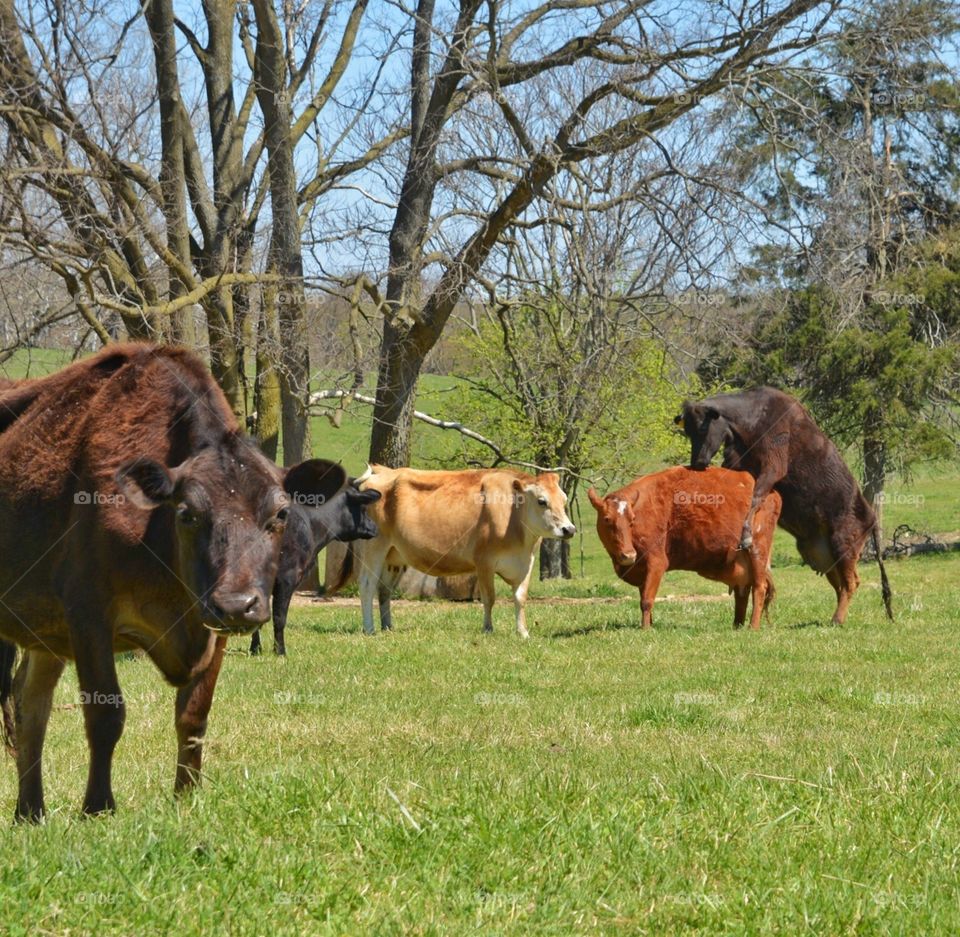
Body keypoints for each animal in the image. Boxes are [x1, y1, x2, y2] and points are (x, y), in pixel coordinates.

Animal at [0, 343, 347, 820]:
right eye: (187, 513)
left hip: (45, 633)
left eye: (280, 513)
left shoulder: (211, 623)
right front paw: (98, 807)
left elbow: (194, 715)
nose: (237, 604)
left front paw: (187, 797)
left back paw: (30, 811)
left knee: (30, 703)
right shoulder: (87, 612)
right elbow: (106, 714)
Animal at [249, 482, 382, 656]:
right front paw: (280, 652)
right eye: (363, 509)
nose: (375, 527)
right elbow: (279, 617)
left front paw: (255, 650)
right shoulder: (287, 578)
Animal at [335, 464, 576, 637]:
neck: (513, 516)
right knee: (367, 586)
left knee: (384, 590)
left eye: (564, 499)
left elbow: (520, 598)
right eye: (542, 501)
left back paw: (388, 627)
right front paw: (488, 629)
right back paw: (369, 629)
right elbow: (489, 598)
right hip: (373, 548)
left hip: (393, 556)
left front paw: (523, 632)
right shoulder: (484, 561)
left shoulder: (527, 562)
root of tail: (380, 470)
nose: (569, 529)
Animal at [588, 466, 781, 629]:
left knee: (759, 588)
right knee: (742, 592)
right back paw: (736, 626)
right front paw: (649, 624)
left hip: (757, 551)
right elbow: (644, 595)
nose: (628, 555)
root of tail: (772, 493)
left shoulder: (656, 561)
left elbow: (647, 600)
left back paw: (752, 627)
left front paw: (645, 630)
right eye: (606, 519)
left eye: (632, 519)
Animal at [675, 387, 893, 624]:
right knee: (841, 584)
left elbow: (756, 496)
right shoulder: (737, 462)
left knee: (852, 582)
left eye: (703, 428)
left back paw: (837, 619)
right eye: (688, 431)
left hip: (844, 546)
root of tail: (872, 517)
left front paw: (746, 536)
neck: (752, 419)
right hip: (828, 559)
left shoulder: (773, 466)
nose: (697, 462)